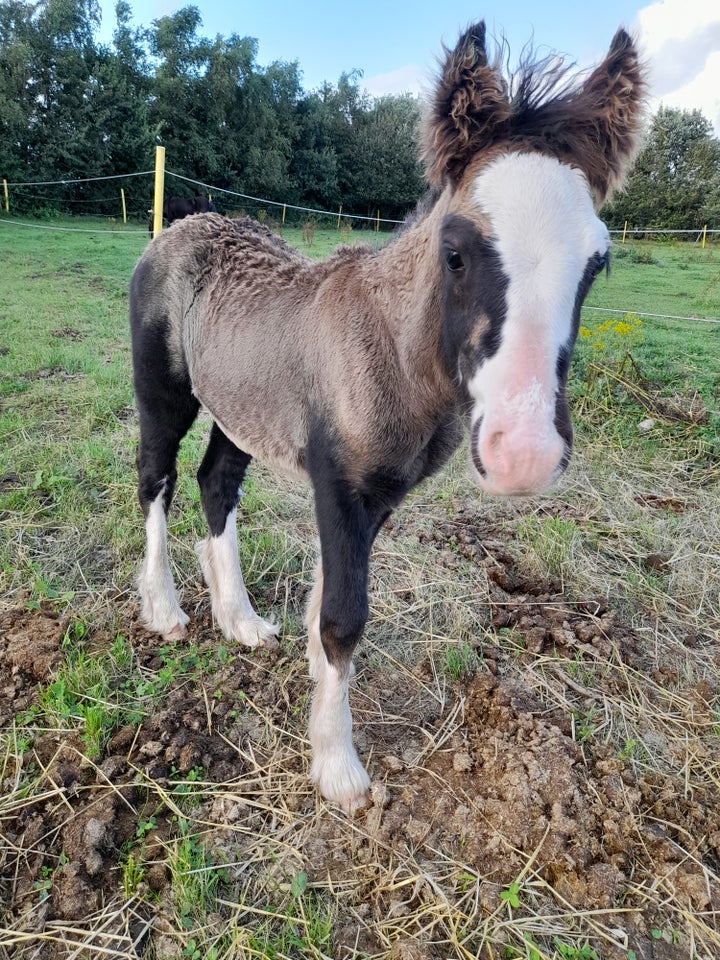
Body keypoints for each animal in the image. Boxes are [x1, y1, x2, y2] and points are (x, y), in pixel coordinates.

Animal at [129, 20, 648, 808]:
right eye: (456, 251)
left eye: (598, 264)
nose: (523, 453)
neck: (396, 355)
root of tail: (178, 228)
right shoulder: (339, 486)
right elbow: (343, 618)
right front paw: (337, 767)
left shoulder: (378, 498)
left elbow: (324, 611)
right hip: (165, 394)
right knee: (154, 479)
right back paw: (163, 610)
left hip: (242, 408)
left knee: (215, 482)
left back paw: (239, 620)